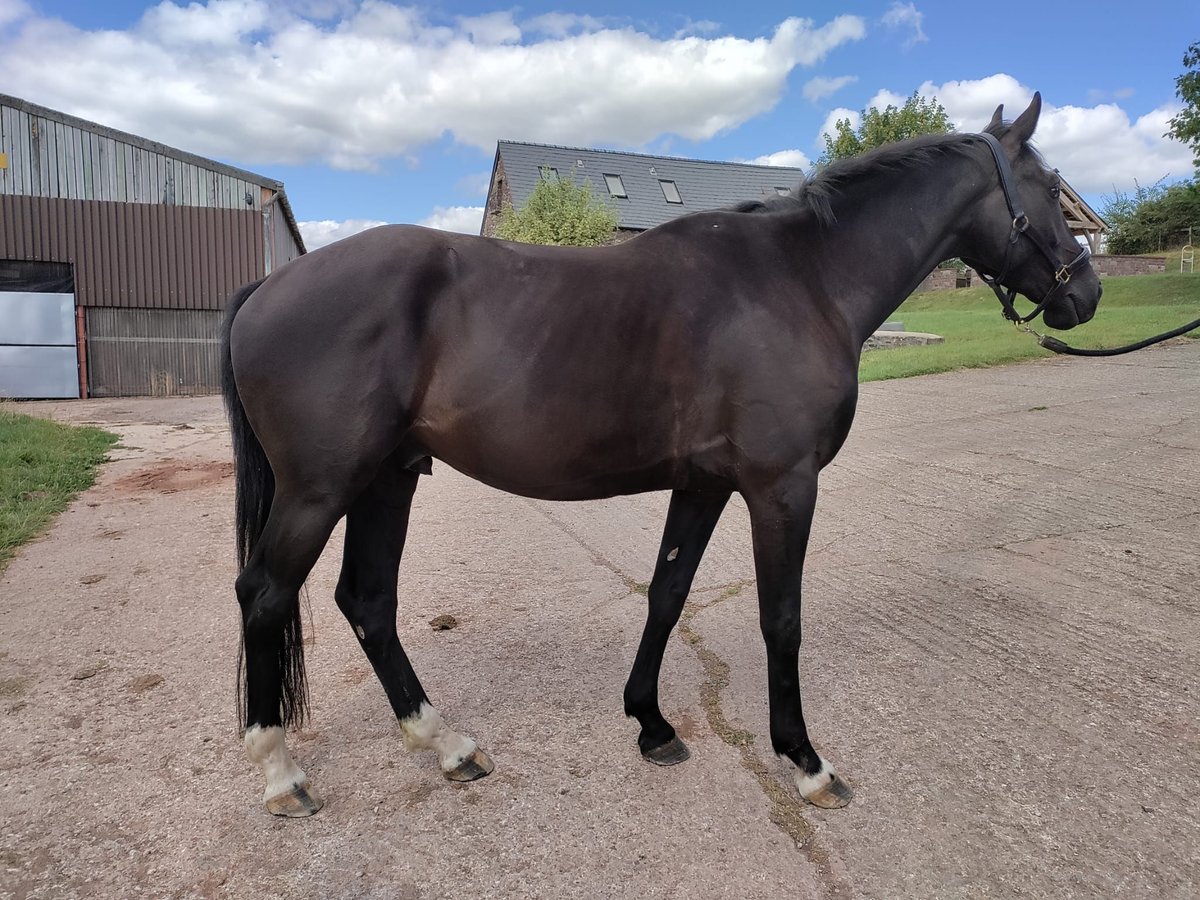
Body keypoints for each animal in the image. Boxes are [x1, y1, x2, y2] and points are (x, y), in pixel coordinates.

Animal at [223, 95, 1099, 820]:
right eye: (1049, 186)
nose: (1084, 295)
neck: (802, 279)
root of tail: (267, 289)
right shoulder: (782, 487)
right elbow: (781, 619)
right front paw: (807, 762)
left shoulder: (705, 485)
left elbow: (667, 594)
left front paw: (650, 723)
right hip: (321, 488)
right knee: (265, 595)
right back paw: (281, 776)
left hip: (386, 479)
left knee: (368, 601)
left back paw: (447, 747)